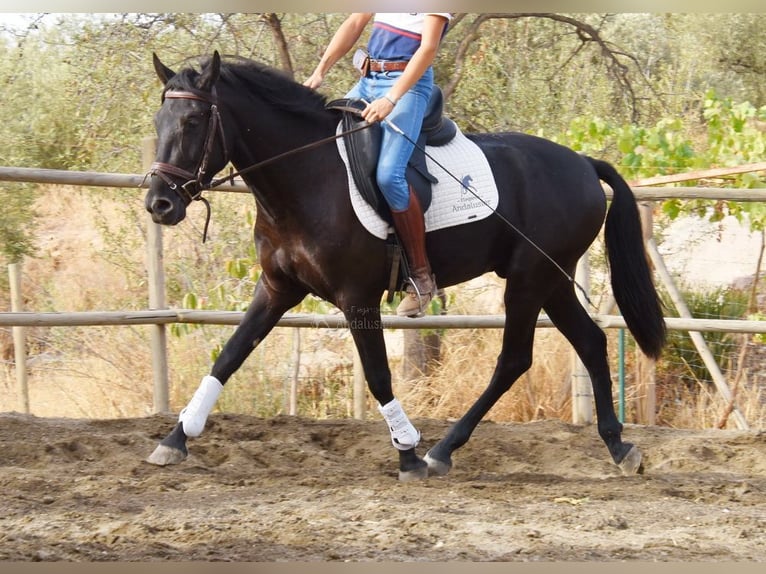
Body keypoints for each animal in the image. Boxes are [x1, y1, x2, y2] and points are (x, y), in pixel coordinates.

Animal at [144, 51, 664, 480]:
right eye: (159, 121)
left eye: (193, 121)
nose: (159, 204)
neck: (308, 177)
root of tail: (582, 162)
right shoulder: (276, 289)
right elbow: (229, 356)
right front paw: (175, 439)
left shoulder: (357, 298)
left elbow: (378, 375)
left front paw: (408, 454)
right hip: (551, 279)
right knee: (591, 343)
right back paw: (619, 447)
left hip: (529, 280)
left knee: (515, 358)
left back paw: (441, 451)